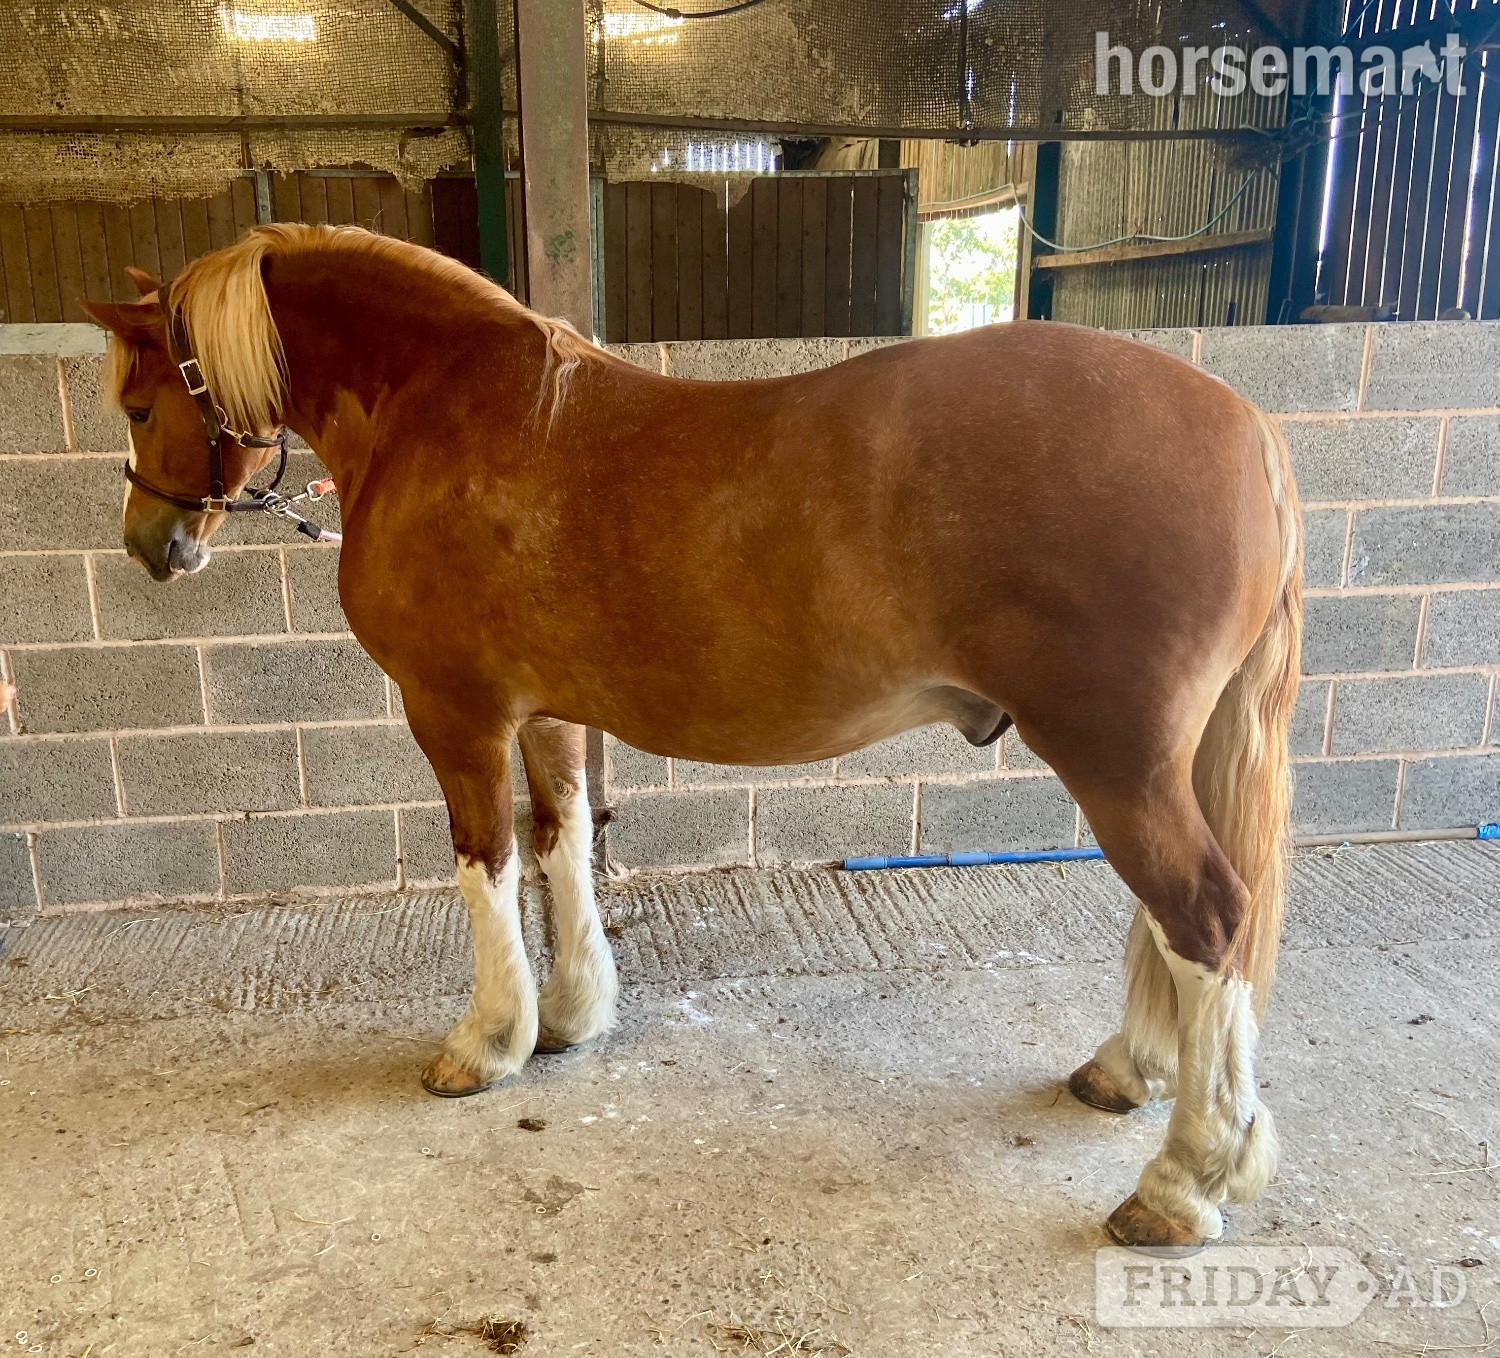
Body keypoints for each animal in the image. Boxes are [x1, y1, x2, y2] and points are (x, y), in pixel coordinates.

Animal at [84, 223, 1301, 1249]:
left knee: (1206, 916)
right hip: (1155, 762)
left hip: (1117, 760)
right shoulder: (550, 710)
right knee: (1176, 925)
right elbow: (563, 838)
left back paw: (1182, 1183)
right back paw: (1128, 1074)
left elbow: (488, 862)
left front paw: (485, 1043)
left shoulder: (455, 712)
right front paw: (573, 1015)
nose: (151, 543)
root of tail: (1246, 424)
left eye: (139, 405)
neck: (440, 407)